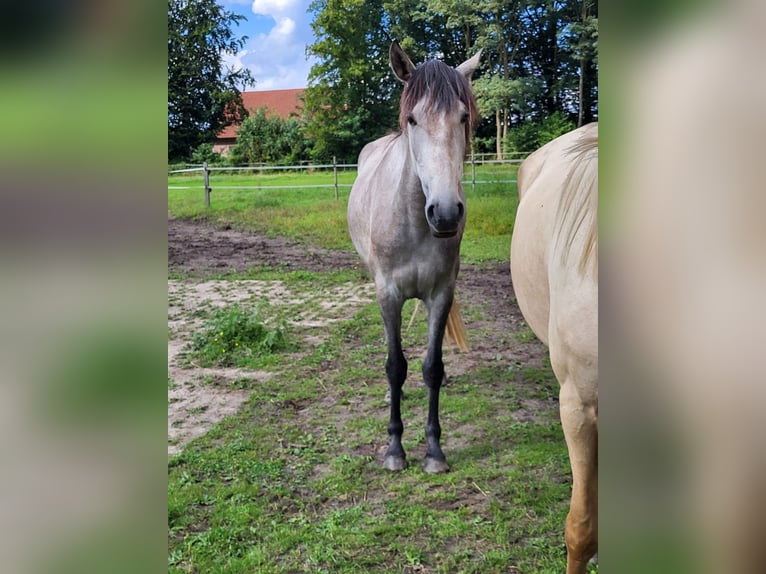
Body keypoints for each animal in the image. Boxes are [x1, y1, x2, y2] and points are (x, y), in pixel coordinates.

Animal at [352, 41, 484, 476]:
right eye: (412, 119)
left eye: (463, 116)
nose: (444, 213)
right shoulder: (388, 294)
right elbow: (396, 365)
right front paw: (395, 448)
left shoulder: (441, 293)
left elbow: (431, 367)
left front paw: (434, 451)